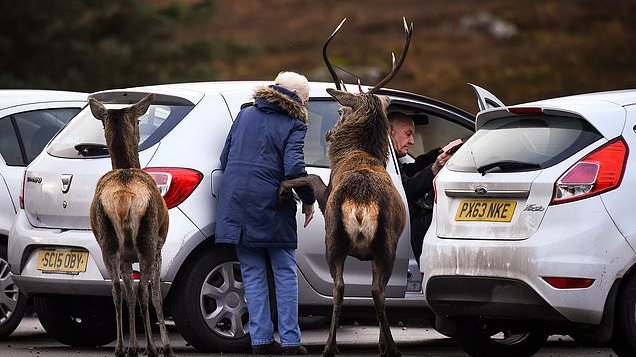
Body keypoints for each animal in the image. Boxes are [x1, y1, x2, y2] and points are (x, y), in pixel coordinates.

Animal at [88, 94, 174, 356]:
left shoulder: (126, 258)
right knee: (145, 291)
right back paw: (152, 348)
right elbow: (155, 294)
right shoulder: (159, 246)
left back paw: (120, 348)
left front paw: (134, 346)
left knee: (117, 291)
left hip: (107, 244)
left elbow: (129, 294)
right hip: (148, 241)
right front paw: (164, 346)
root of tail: (123, 197)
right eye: (138, 122)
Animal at [278, 18, 412, 356]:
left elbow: (313, 178)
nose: (328, 135)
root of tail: (361, 205)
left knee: (348, 289)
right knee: (373, 291)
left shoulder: (327, 196)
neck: (355, 154)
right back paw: (377, 346)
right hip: (379, 244)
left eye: (340, 111)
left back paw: (339, 346)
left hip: (341, 238)